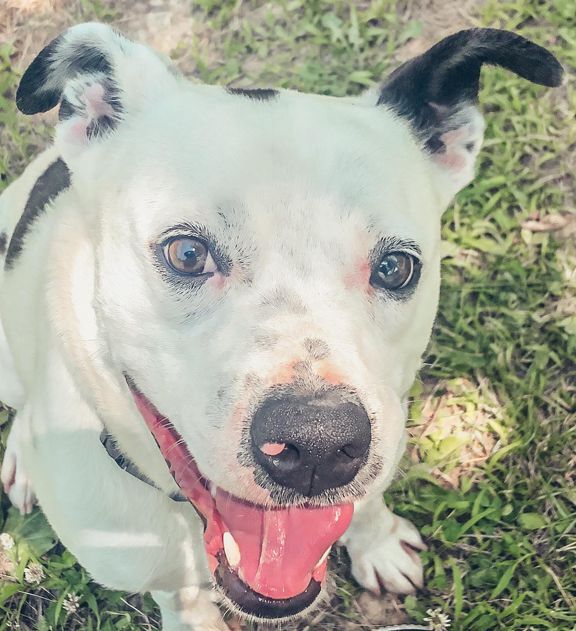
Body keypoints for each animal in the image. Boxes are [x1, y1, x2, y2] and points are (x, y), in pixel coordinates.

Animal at [0, 22, 564, 628]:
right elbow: (181, 598)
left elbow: (366, 501)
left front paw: (378, 542)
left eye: (396, 266)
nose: (318, 445)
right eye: (186, 254)